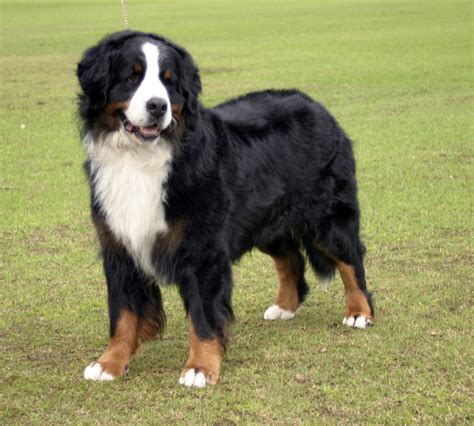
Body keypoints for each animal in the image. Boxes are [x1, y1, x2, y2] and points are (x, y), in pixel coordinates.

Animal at [77, 30, 374, 388]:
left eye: (168, 81)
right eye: (131, 77)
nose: (158, 106)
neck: (140, 160)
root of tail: (318, 108)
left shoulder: (203, 251)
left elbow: (203, 318)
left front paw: (200, 368)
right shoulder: (120, 246)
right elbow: (122, 314)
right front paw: (110, 363)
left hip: (329, 217)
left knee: (350, 260)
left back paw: (359, 312)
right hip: (264, 220)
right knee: (290, 259)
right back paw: (285, 307)